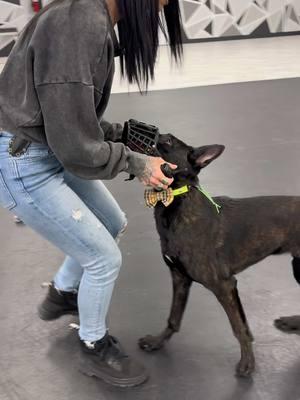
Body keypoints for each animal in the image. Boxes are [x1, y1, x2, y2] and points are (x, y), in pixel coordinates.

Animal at [138, 134, 300, 378]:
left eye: (168, 142)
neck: (177, 199)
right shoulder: (180, 278)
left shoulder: (224, 285)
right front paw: (158, 341)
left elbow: (239, 327)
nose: (155, 134)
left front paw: (248, 363)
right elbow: (174, 318)